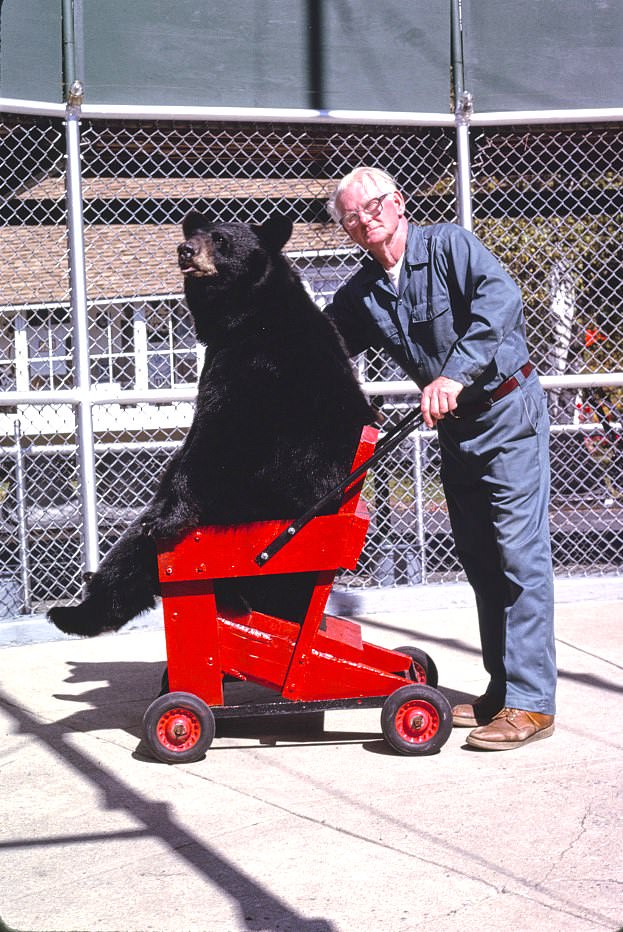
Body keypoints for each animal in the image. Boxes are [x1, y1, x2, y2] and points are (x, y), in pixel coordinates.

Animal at [47, 211, 376, 636]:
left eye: (220, 239)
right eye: (196, 233)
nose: (184, 249)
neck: (246, 314)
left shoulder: (255, 363)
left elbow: (218, 434)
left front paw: (165, 517)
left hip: (248, 505)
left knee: (137, 548)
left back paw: (80, 612)